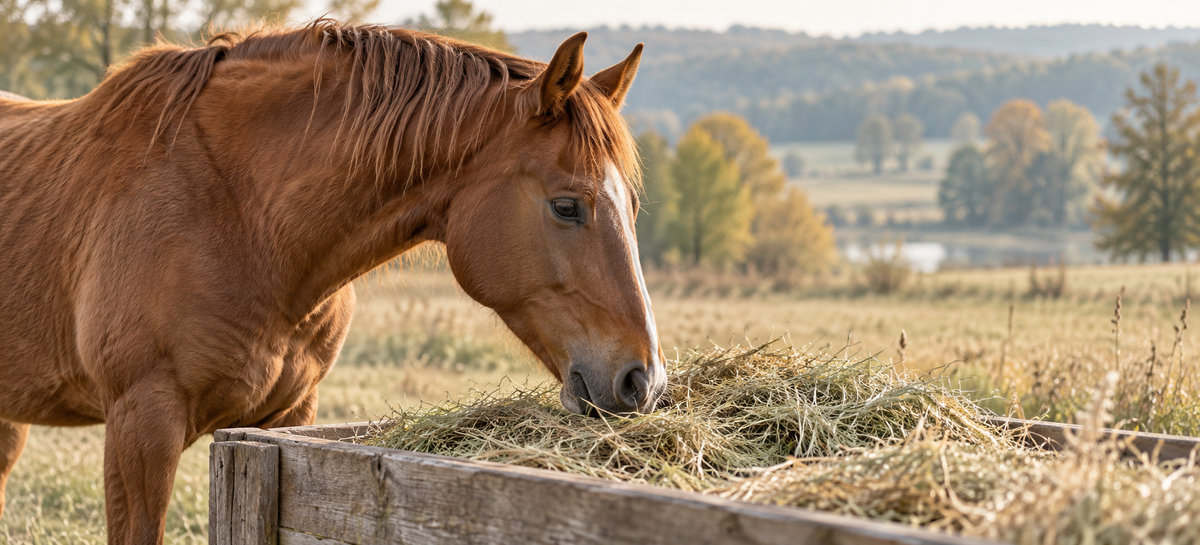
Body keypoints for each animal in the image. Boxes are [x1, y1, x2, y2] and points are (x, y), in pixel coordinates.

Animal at [0, 21, 665, 544]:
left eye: (632, 205)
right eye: (567, 206)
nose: (643, 381)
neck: (237, 213)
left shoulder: (289, 421)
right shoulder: (141, 426)